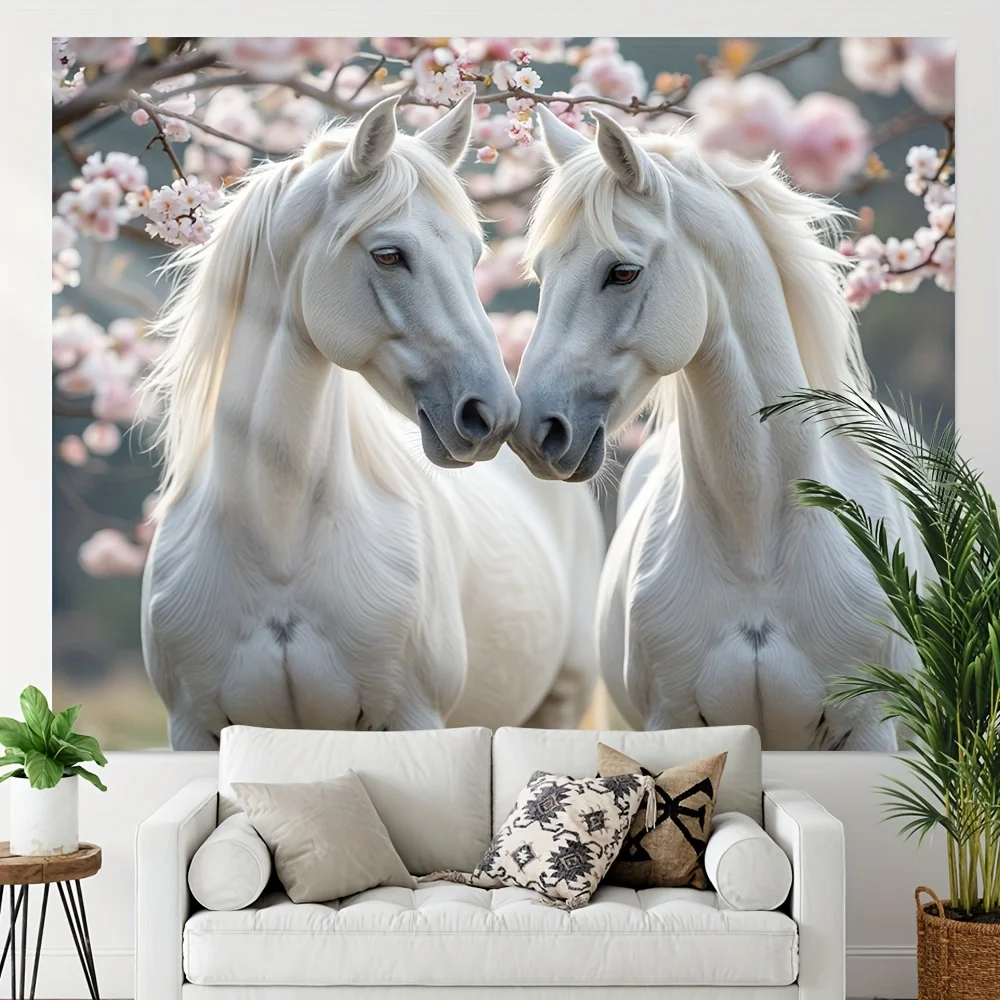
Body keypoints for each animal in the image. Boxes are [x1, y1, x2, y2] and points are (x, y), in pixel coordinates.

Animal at [140, 95, 604, 749]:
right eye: (389, 255)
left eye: (473, 256)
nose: (495, 415)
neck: (278, 548)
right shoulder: (193, 729)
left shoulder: (409, 717)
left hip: (559, 702)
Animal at [510, 105, 932, 750]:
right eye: (541, 273)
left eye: (622, 272)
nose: (536, 430)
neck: (757, 545)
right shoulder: (671, 719)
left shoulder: (869, 729)